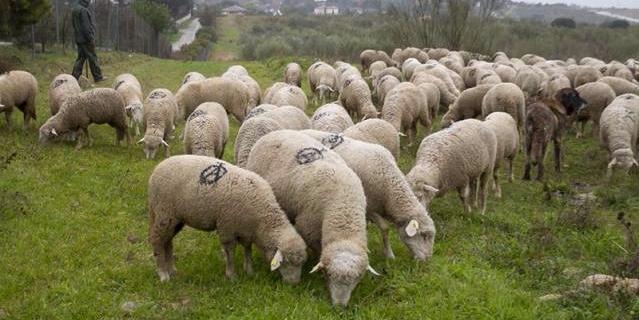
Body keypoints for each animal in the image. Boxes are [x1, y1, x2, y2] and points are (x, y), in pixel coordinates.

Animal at [150, 155, 310, 282]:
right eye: (286, 262)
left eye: (302, 263)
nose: (294, 284)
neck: (261, 217)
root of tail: (157, 169)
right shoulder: (227, 226)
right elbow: (230, 252)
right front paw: (231, 275)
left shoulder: (246, 230)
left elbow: (247, 249)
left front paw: (249, 271)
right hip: (163, 213)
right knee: (157, 241)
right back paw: (163, 275)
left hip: (175, 219)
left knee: (168, 242)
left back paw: (172, 270)